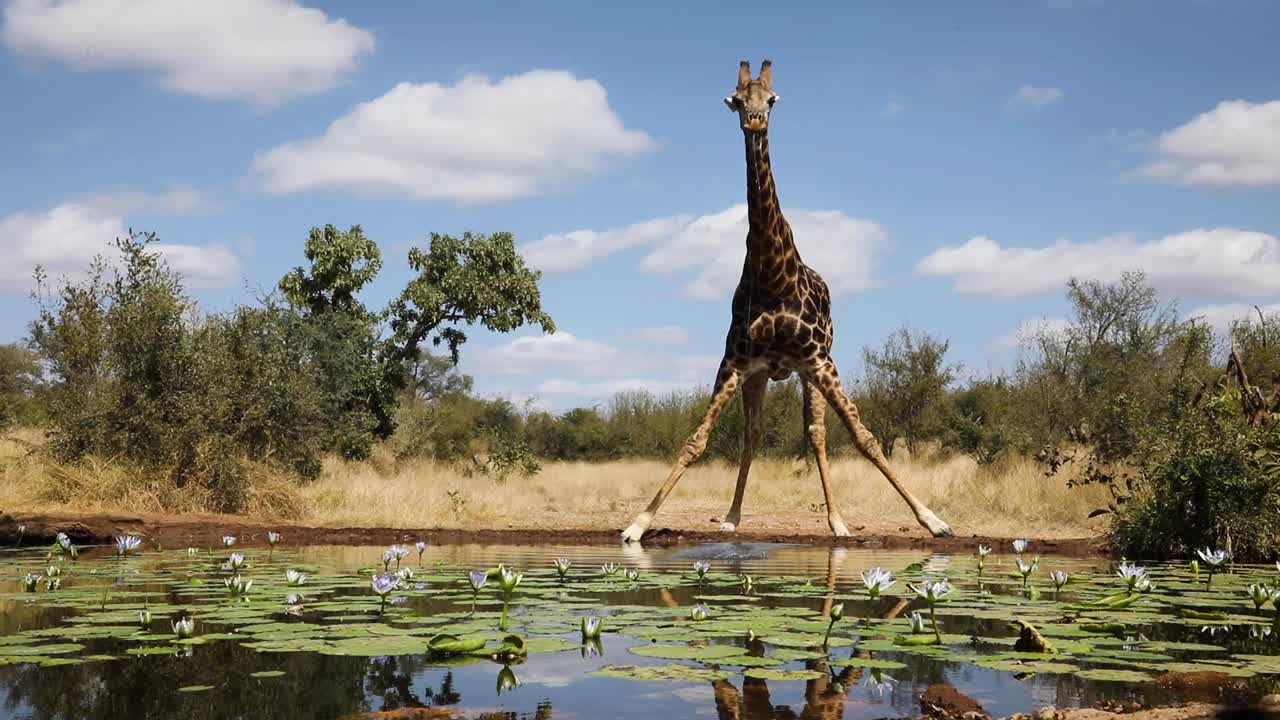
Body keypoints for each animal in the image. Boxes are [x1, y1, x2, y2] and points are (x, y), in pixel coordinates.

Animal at [620, 59, 954, 543]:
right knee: (753, 434)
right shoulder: (735, 361)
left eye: (771, 99)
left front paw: (933, 519)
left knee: (817, 433)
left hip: (813, 369)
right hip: (763, 374)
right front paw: (638, 524)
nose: (755, 121)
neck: (773, 274)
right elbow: (696, 441)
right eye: (736, 99)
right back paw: (733, 517)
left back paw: (839, 523)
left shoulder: (817, 360)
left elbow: (864, 437)